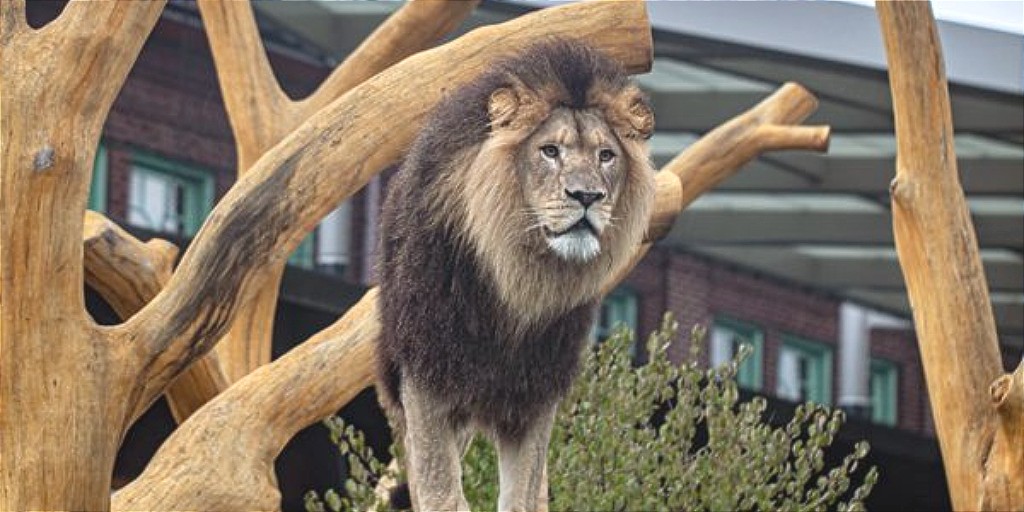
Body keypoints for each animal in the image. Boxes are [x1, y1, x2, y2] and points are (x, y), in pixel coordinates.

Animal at [376, 39, 655, 512]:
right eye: (550, 151)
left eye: (606, 156)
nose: (587, 196)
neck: (521, 278)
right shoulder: (426, 376)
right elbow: (441, 490)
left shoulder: (536, 392)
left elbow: (522, 495)